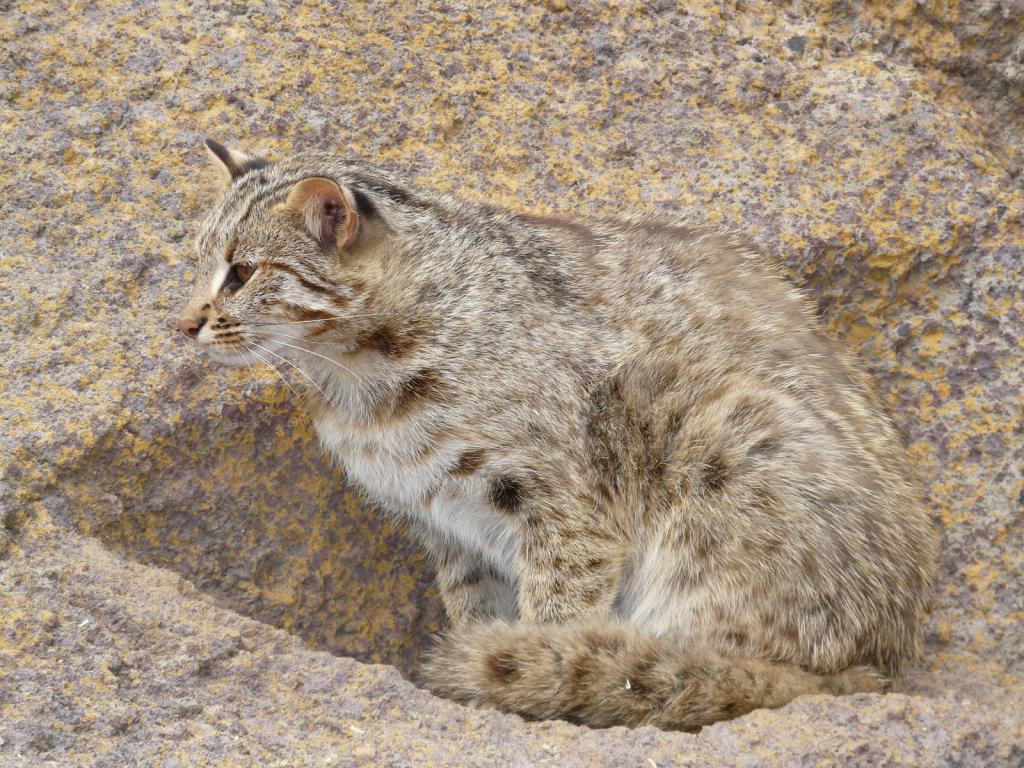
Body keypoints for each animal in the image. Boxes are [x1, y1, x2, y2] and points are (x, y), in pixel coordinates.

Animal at [178, 141, 937, 729]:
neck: (364, 385)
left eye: (241, 272)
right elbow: (477, 611)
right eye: (201, 261)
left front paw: (530, 680)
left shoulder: (566, 507)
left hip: (730, 446)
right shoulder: (445, 524)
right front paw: (488, 678)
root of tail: (890, 655)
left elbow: (557, 614)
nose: (183, 324)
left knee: (752, 674)